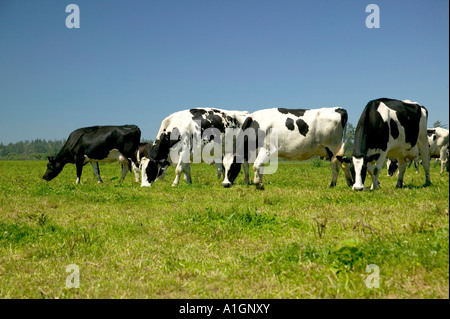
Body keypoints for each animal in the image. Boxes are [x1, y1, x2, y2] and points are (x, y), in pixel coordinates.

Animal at [220, 106, 354, 190]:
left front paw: (259, 184)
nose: (225, 184)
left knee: (338, 166)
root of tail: (338, 109)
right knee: (342, 164)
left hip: (334, 147)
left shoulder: (268, 149)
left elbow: (256, 166)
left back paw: (335, 185)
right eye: (223, 167)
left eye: (233, 166)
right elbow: (260, 167)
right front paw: (260, 183)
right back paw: (348, 183)